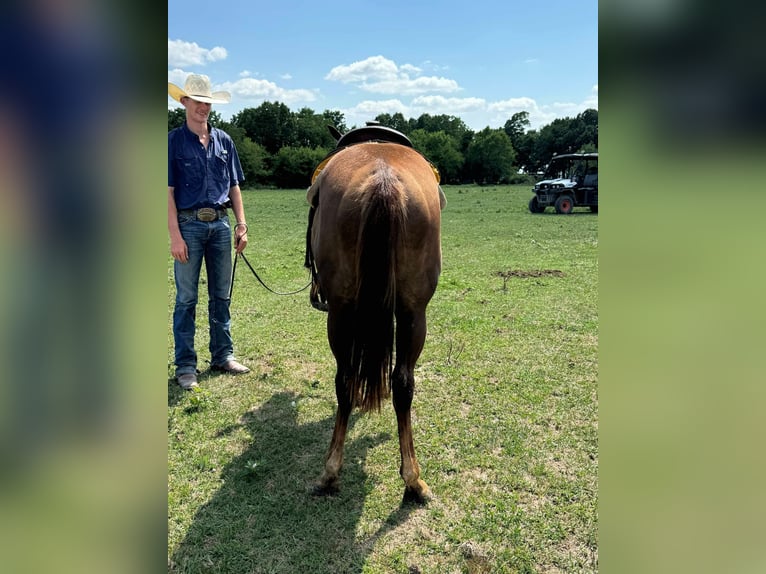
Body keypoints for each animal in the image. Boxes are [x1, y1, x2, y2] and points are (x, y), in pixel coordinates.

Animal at [306, 141, 444, 504]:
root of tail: (384, 178)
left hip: (341, 314)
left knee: (346, 380)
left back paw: (331, 472)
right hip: (413, 312)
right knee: (402, 383)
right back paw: (413, 480)